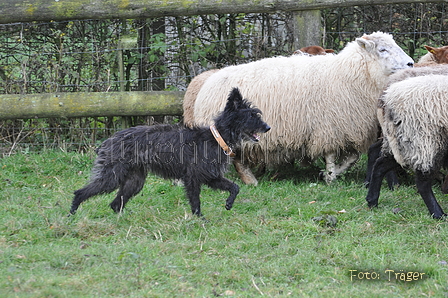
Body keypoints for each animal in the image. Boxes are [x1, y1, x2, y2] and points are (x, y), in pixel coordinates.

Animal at [71, 88, 270, 217]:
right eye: (251, 115)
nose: (268, 127)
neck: (216, 137)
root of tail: (108, 141)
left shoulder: (211, 176)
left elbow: (234, 187)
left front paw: (229, 203)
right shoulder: (193, 178)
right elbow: (196, 201)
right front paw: (200, 219)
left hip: (134, 182)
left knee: (115, 204)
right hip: (111, 177)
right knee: (81, 192)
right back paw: (72, 213)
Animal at [189, 31, 412, 183]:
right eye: (382, 50)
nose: (411, 64)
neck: (348, 73)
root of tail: (208, 83)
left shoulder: (346, 128)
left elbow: (352, 157)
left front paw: (329, 173)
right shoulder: (329, 127)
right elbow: (331, 155)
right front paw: (330, 176)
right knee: (235, 158)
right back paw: (250, 180)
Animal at [366, 74, 448, 219]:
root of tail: (388, 99)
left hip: (402, 142)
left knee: (380, 164)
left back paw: (372, 201)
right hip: (424, 141)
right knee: (422, 183)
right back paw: (438, 214)